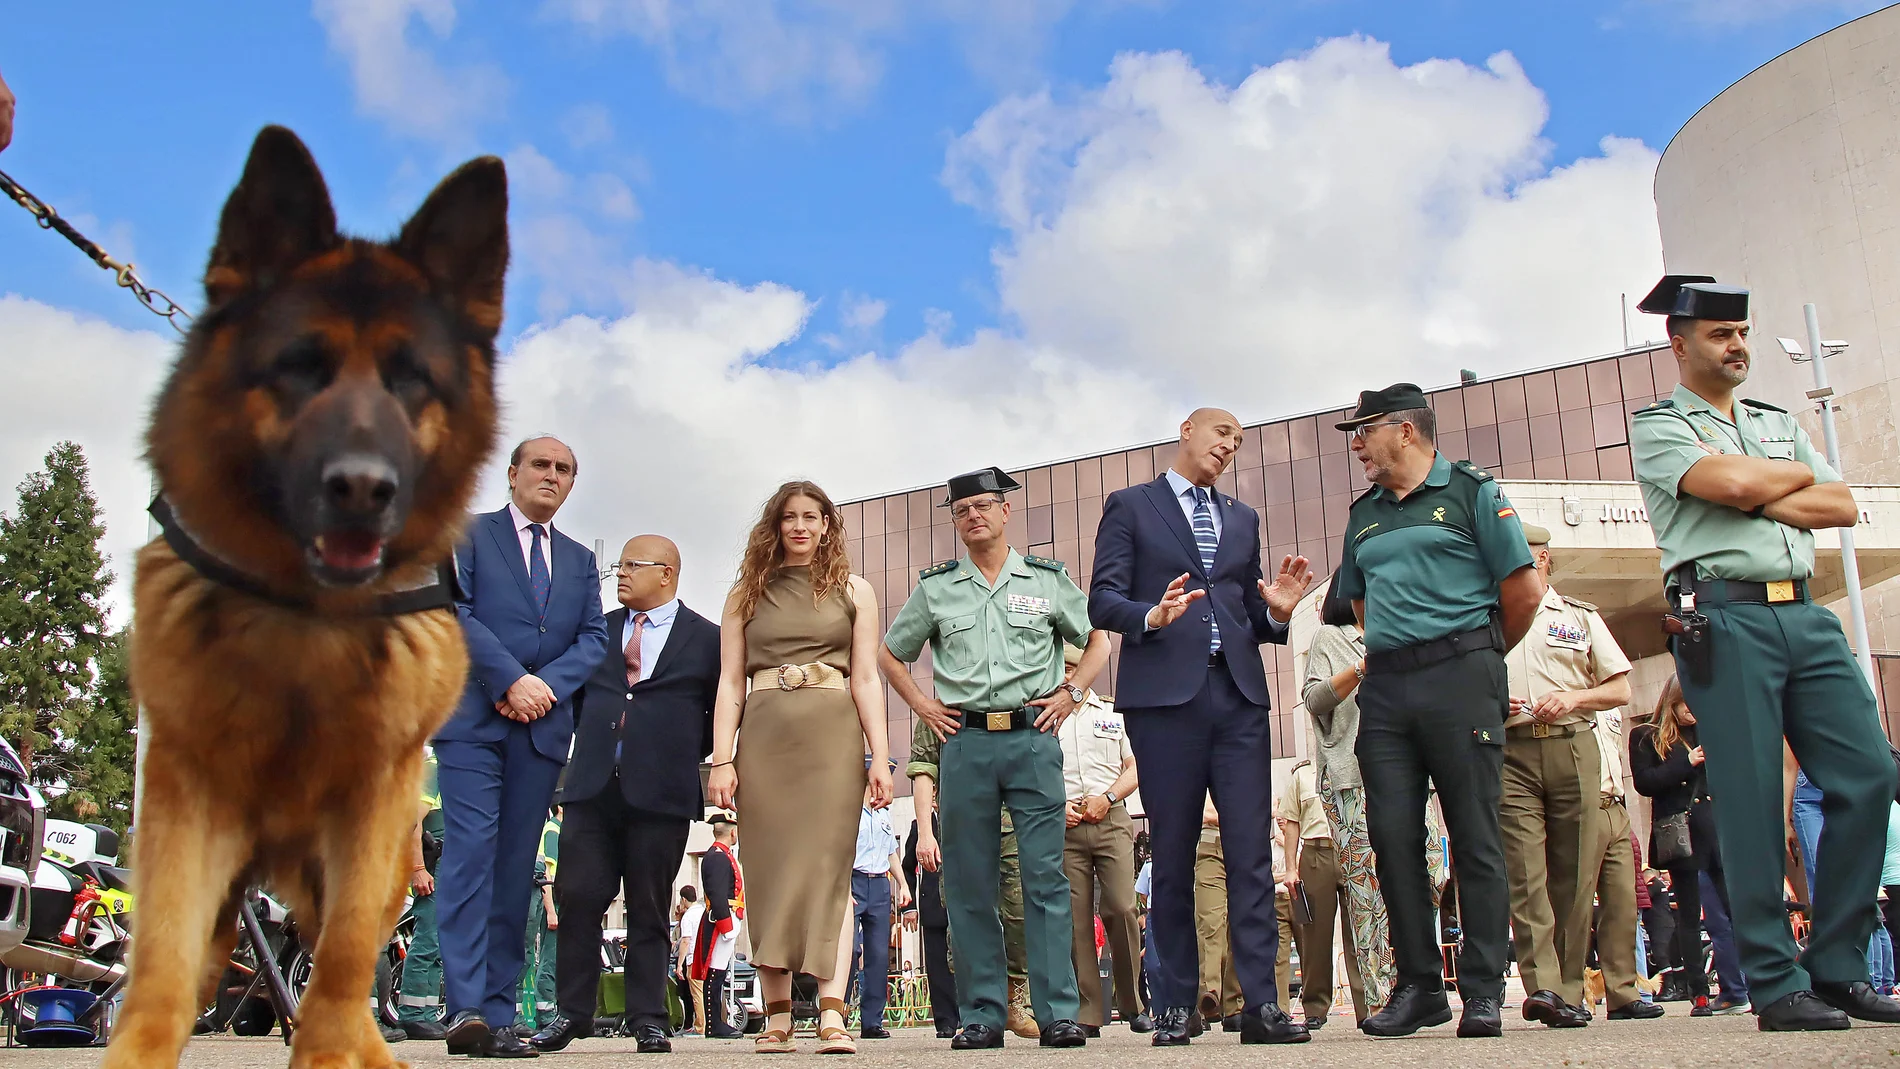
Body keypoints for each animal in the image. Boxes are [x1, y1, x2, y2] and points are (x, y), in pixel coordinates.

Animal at [104, 127, 505, 1069]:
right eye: (298, 367)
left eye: (411, 379)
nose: (361, 488)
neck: (304, 619)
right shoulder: (186, 803)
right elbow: (160, 969)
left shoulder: (370, 810)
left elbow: (346, 967)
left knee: (344, 966)